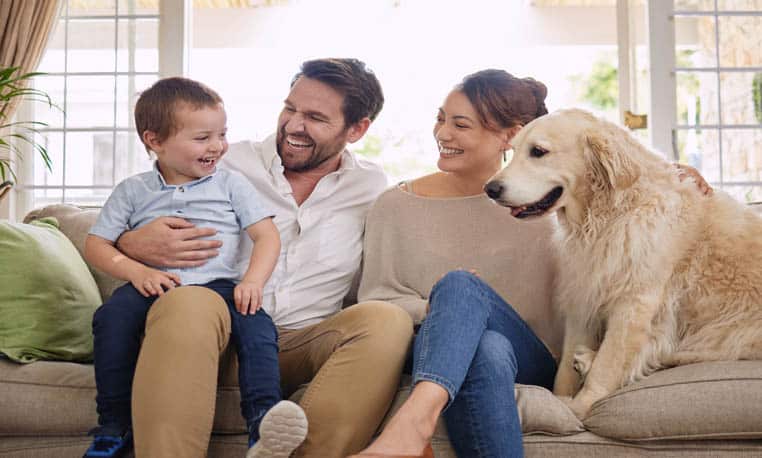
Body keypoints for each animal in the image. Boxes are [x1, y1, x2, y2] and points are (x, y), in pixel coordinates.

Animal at [484, 107, 760, 418]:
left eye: (538, 152)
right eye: (512, 151)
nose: (489, 188)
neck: (609, 214)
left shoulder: (633, 301)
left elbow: (608, 364)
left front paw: (580, 407)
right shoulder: (584, 296)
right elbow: (565, 368)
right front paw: (560, 399)